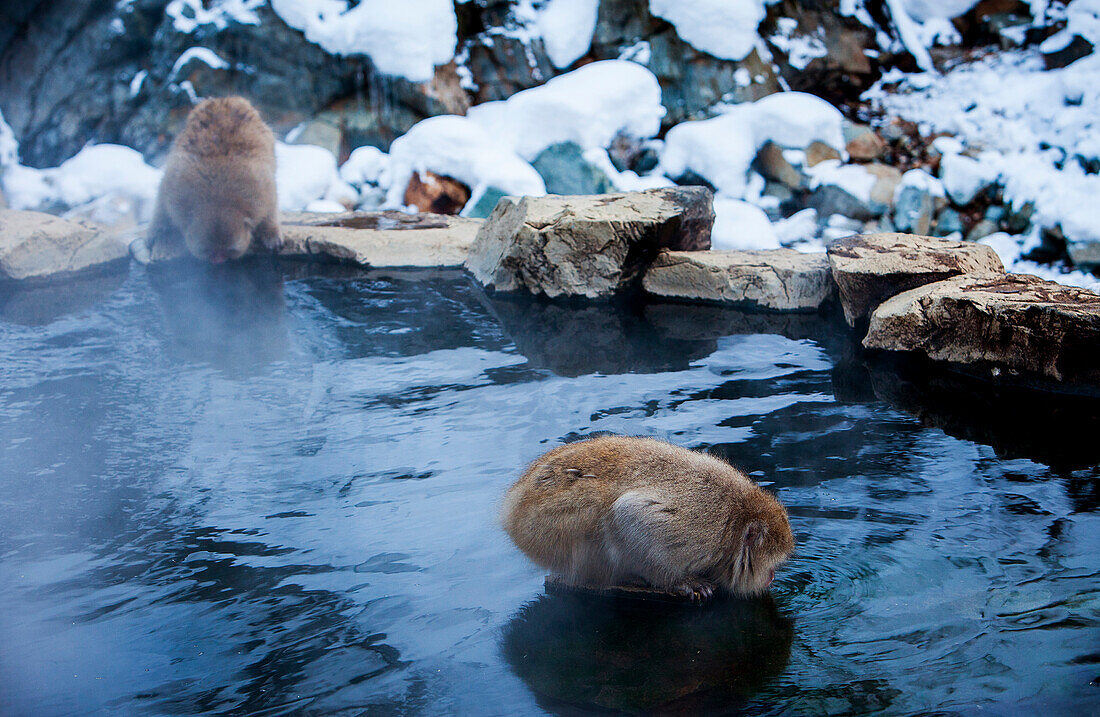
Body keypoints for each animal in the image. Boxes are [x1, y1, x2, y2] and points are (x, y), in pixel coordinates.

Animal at [148, 96, 281, 261]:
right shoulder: (175, 189)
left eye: (229, 250)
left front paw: (270, 232)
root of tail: (224, 99)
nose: (218, 261)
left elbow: (270, 207)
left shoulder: (262, 189)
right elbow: (164, 203)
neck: (219, 198)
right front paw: (164, 236)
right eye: (208, 250)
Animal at [503, 433, 796, 602]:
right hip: (547, 529)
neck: (738, 517)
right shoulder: (701, 532)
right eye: (772, 564)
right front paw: (680, 583)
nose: (771, 577)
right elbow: (628, 514)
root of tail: (512, 507)